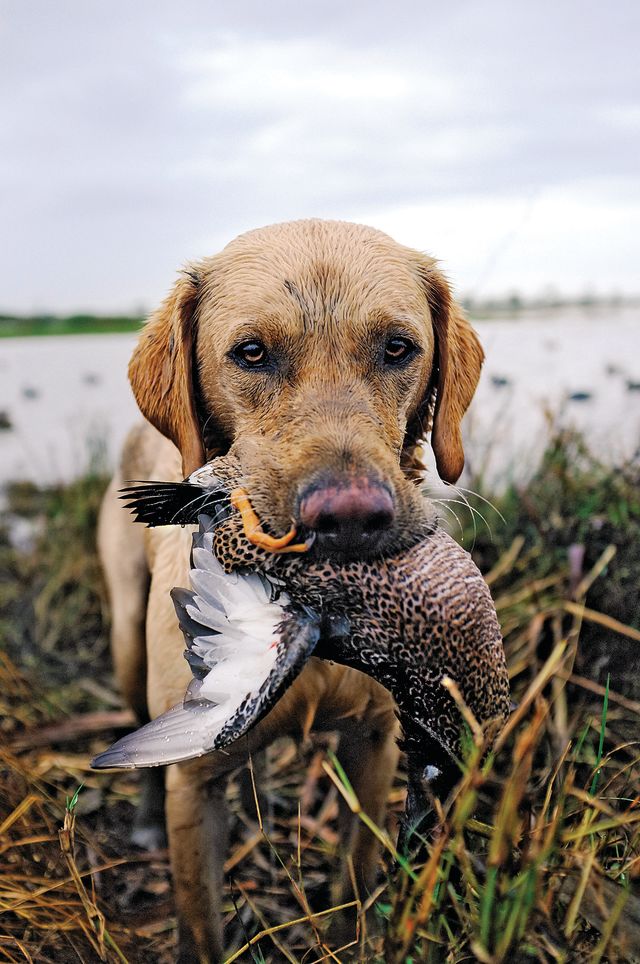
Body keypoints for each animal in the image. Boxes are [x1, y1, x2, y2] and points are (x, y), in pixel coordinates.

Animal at [99, 220, 480, 964]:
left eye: (399, 347)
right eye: (251, 353)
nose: (350, 519)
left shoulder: (375, 744)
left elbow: (357, 876)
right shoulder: (196, 786)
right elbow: (201, 925)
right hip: (128, 642)